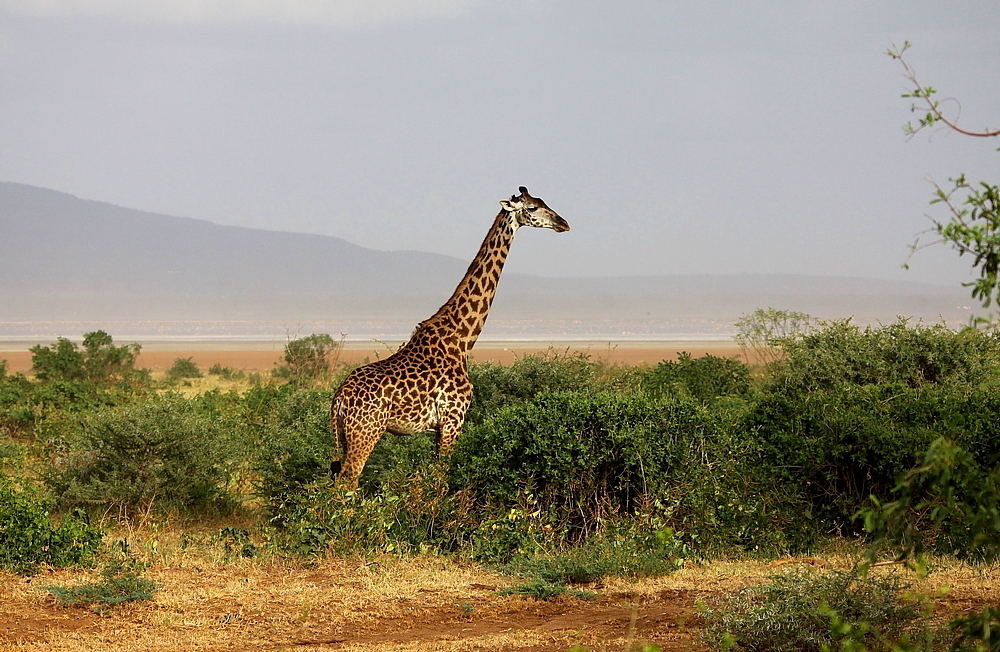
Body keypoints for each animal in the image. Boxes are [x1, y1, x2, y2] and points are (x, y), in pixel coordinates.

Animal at [332, 186, 572, 486]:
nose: (564, 223)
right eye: (531, 208)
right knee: (348, 481)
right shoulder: (453, 418)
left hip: (346, 434)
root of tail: (338, 398)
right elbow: (440, 477)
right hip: (365, 432)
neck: (461, 339)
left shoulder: (440, 425)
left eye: (542, 202)